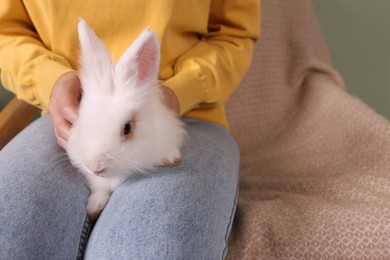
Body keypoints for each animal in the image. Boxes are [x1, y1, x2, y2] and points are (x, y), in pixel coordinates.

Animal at [67, 18, 186, 220]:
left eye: (127, 128)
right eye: (81, 121)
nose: (95, 167)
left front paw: (172, 159)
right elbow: (99, 189)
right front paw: (94, 207)